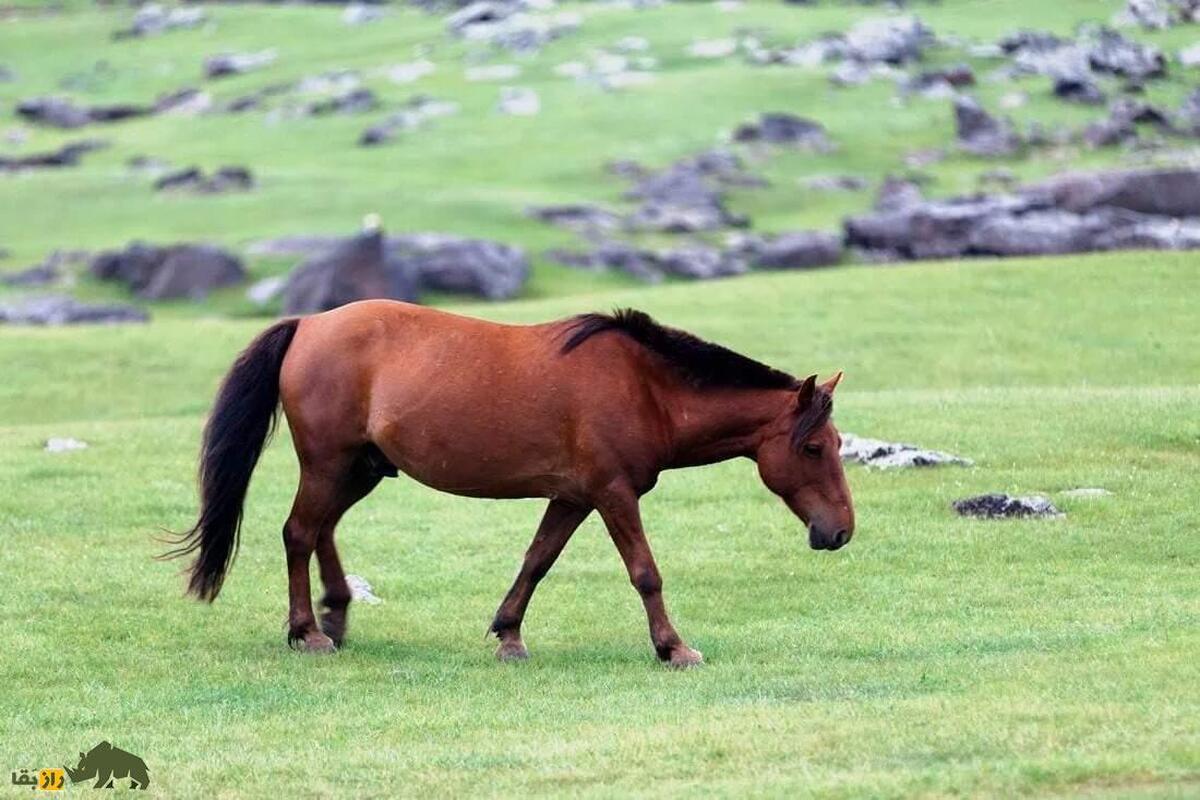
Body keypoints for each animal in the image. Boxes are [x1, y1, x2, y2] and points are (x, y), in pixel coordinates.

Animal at [169, 298, 854, 662]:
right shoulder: (612, 494)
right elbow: (645, 573)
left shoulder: (573, 497)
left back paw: (334, 616)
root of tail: (310, 322)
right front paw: (672, 647)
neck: (646, 388)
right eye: (815, 447)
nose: (841, 531)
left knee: (321, 531)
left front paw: (508, 634)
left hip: (361, 467)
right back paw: (306, 631)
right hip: (329, 462)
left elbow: (536, 561)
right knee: (298, 533)